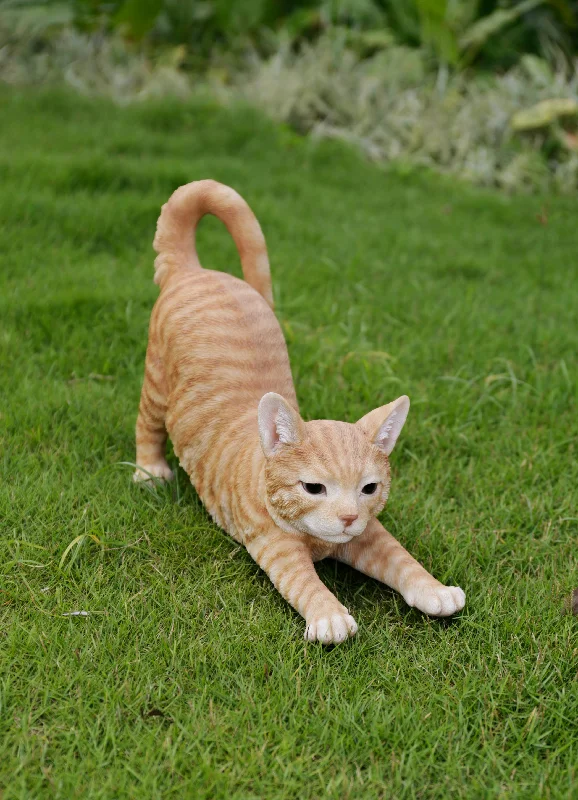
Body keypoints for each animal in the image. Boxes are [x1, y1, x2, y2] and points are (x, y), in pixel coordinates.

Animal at [134, 180, 464, 644]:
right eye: (313, 488)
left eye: (369, 489)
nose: (347, 517)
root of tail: (195, 270)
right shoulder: (277, 546)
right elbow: (305, 582)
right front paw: (329, 616)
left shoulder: (369, 533)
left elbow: (402, 558)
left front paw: (433, 590)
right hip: (157, 384)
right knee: (146, 426)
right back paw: (149, 471)